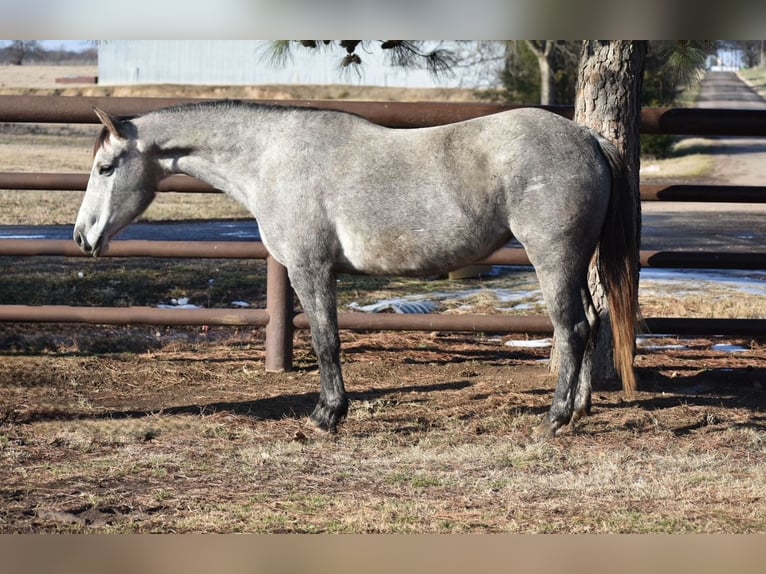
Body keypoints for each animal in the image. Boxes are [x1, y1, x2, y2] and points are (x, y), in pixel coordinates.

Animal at [74, 101, 639, 438]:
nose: (82, 237)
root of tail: (587, 136)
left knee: (573, 327)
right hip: (573, 262)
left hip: (553, 258)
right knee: (592, 323)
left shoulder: (310, 270)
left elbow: (326, 341)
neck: (273, 159)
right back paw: (580, 409)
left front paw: (328, 415)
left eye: (106, 168)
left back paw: (556, 418)